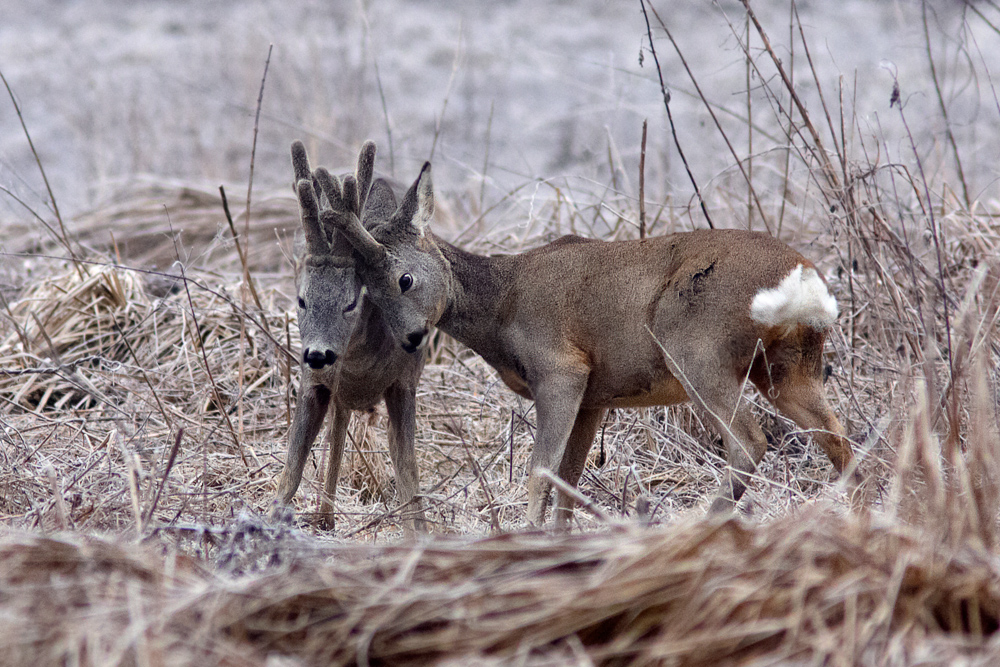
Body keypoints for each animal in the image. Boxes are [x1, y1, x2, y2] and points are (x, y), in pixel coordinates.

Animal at [274, 141, 426, 532]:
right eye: (301, 299)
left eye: (352, 301)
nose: (318, 354)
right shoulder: (313, 382)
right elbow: (291, 469)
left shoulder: (404, 383)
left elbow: (408, 473)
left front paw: (420, 533)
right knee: (338, 425)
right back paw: (324, 516)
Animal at [326, 155, 860, 528]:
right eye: (367, 293)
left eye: (405, 279)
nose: (412, 337)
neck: (502, 304)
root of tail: (800, 280)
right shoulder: (596, 395)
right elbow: (569, 481)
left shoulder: (561, 369)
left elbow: (540, 472)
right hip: (789, 367)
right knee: (840, 438)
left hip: (696, 351)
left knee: (750, 441)